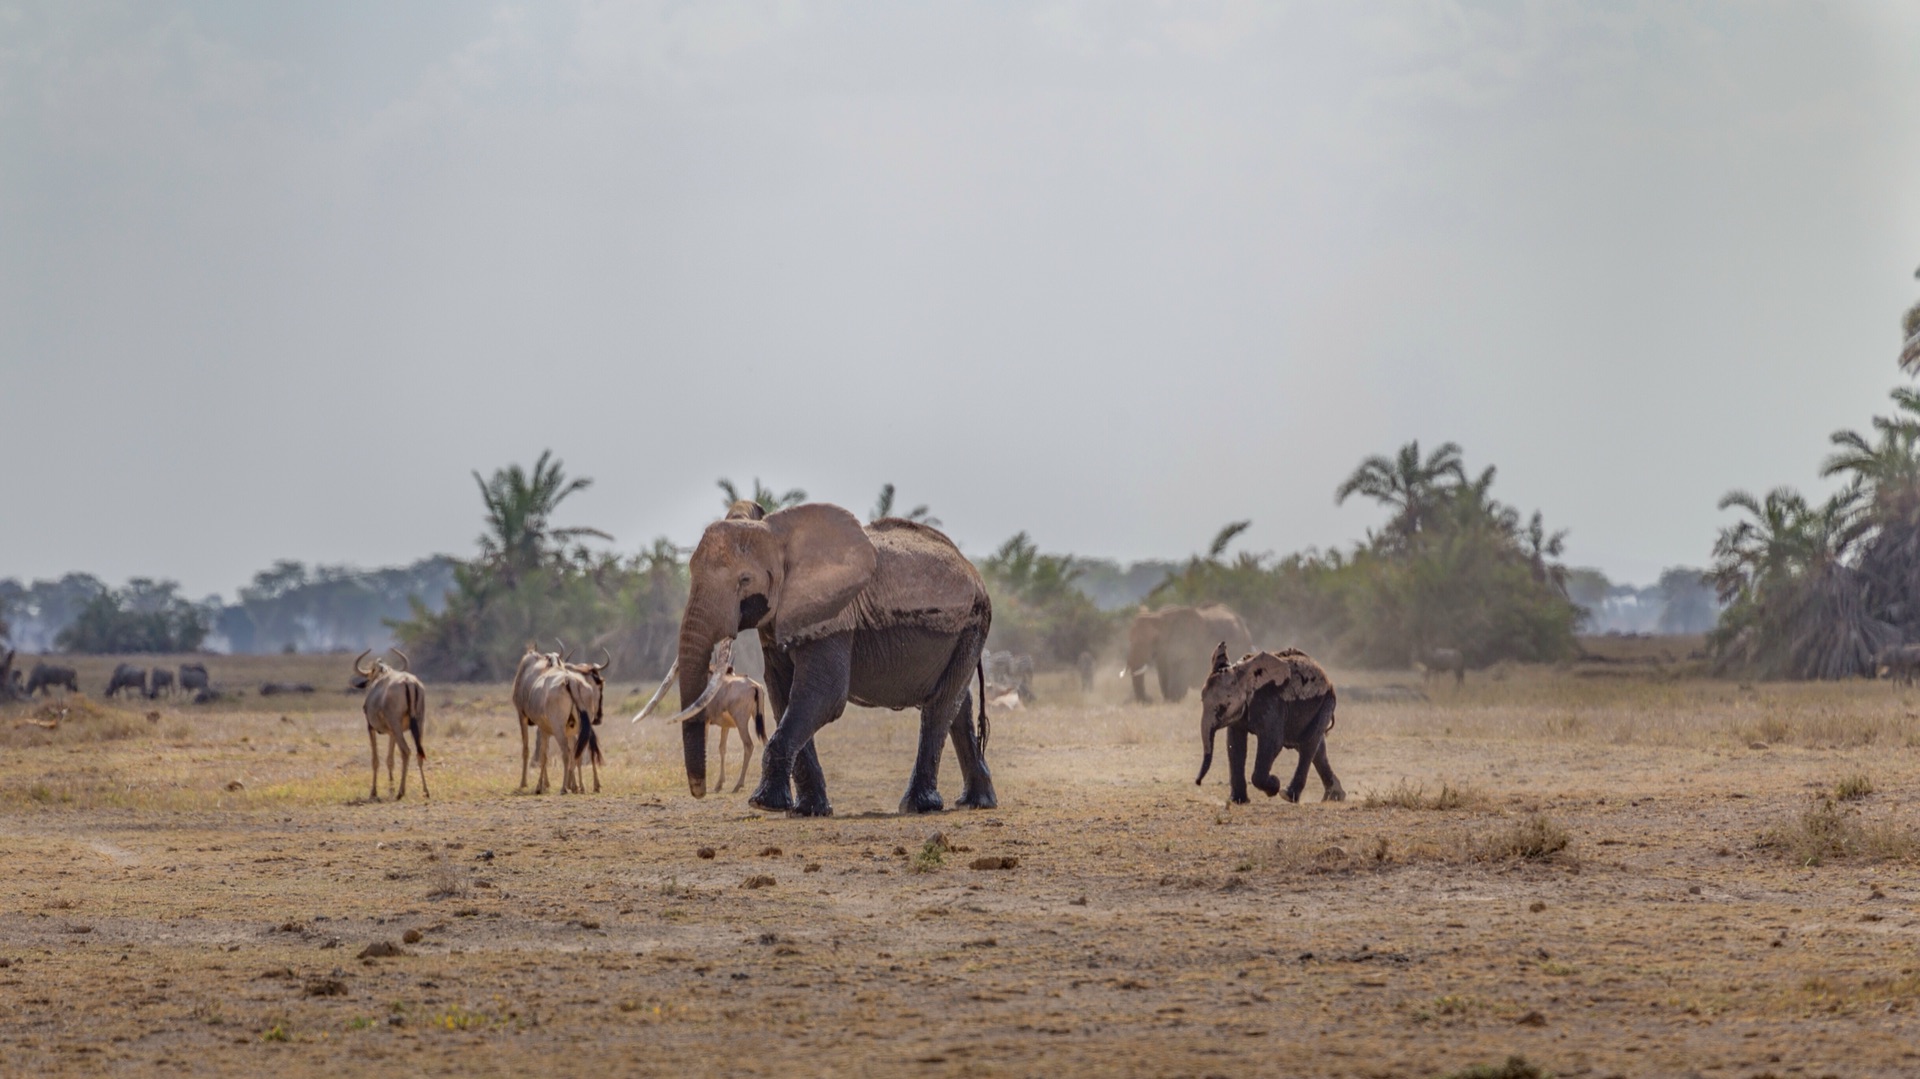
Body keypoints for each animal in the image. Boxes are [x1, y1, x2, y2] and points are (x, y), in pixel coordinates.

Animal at [664, 503, 998, 814]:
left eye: (745, 580)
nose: (700, 791)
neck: (778, 532)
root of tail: (972, 569)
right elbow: (782, 695)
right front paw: (807, 811)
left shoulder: (835, 615)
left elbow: (824, 695)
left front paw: (763, 804)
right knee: (958, 704)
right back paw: (976, 803)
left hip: (972, 625)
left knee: (940, 705)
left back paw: (919, 806)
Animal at [1121, 599, 1251, 702]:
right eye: (1130, 639)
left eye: (1154, 640)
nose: (1149, 699)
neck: (1159, 617)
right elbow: (1163, 671)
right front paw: (1169, 699)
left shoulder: (1186, 644)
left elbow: (1182, 669)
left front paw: (1175, 699)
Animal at [1190, 637, 1344, 798]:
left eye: (1222, 708)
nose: (1198, 782)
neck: (1243, 675)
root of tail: (1327, 679)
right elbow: (1235, 744)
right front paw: (1237, 800)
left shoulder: (1271, 702)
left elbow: (1272, 742)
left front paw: (1274, 786)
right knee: (1317, 749)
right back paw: (1336, 796)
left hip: (1326, 702)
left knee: (1307, 745)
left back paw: (1287, 795)